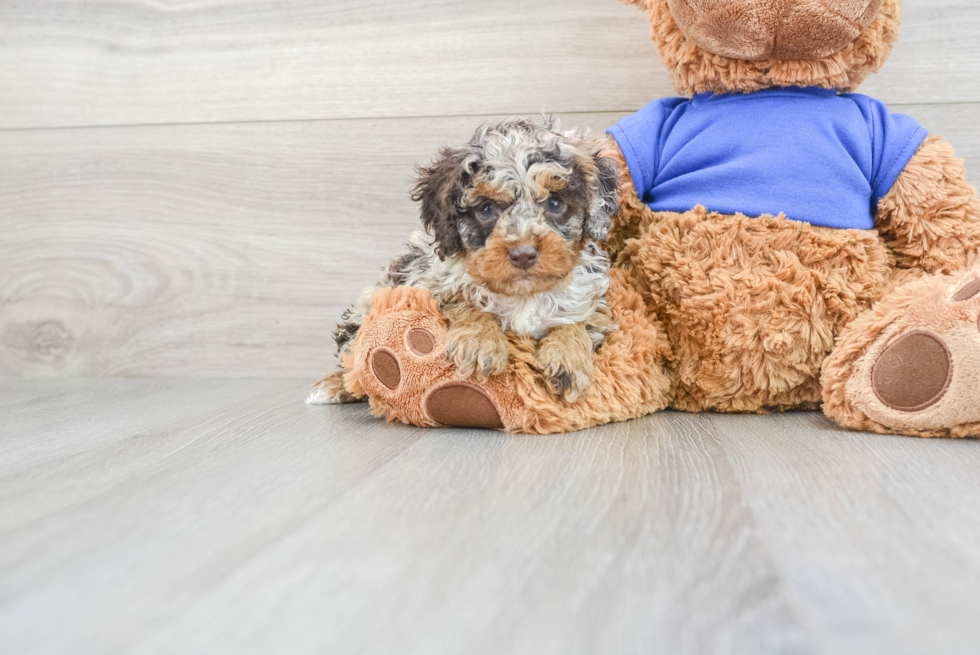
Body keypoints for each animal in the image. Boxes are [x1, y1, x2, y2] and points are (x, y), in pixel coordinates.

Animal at [310, 116, 620, 404]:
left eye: (555, 204)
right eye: (486, 209)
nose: (523, 254)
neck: (523, 295)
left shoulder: (592, 297)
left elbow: (579, 320)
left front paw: (568, 357)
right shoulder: (426, 283)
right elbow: (462, 298)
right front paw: (480, 342)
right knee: (352, 358)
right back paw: (332, 386)